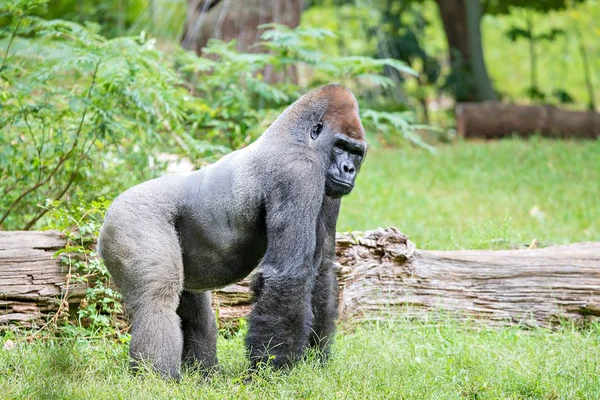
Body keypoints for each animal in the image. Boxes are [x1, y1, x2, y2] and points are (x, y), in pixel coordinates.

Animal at [98, 83, 368, 378]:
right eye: (340, 146)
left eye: (356, 152)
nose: (348, 169)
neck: (296, 137)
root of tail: (109, 209)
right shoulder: (298, 172)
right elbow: (289, 273)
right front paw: (271, 370)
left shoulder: (329, 189)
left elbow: (321, 271)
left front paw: (315, 360)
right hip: (130, 219)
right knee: (156, 301)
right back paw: (158, 378)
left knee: (195, 310)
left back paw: (204, 375)